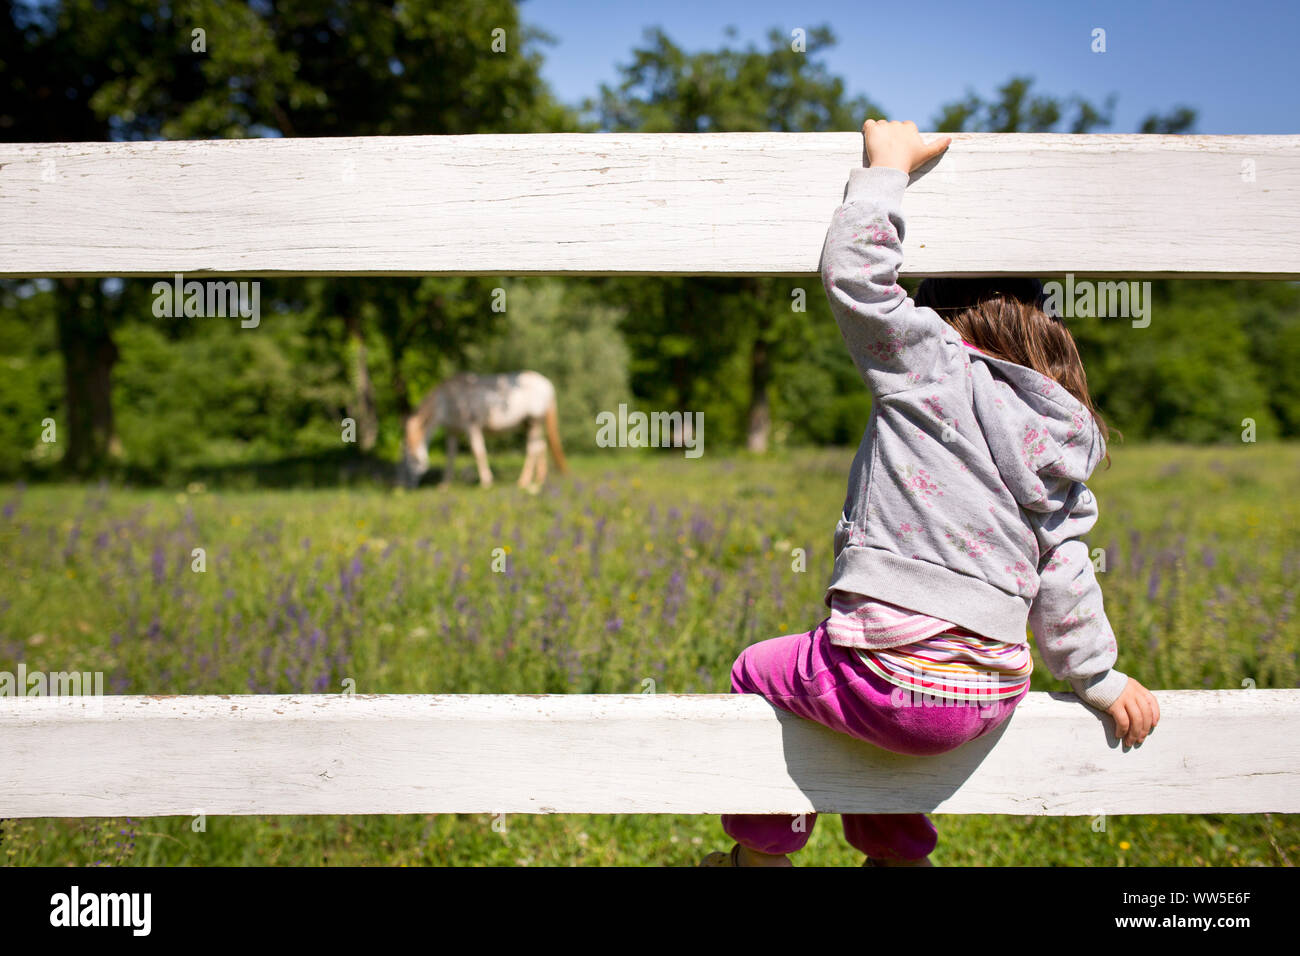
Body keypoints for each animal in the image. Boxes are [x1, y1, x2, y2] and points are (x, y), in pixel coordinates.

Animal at [400, 369, 569, 489]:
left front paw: (486, 482)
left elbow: (478, 451)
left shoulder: (472, 426)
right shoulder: (452, 431)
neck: (446, 401)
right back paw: (539, 479)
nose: (408, 486)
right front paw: (445, 484)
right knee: (541, 446)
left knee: (533, 449)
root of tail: (547, 383)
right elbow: (450, 457)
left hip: (534, 421)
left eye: (411, 460)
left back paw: (523, 481)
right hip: (530, 424)